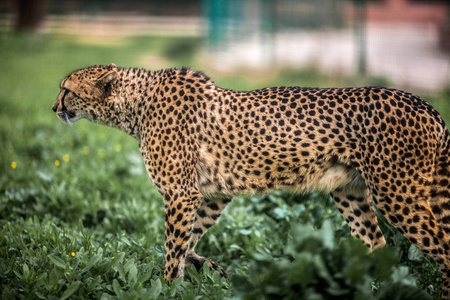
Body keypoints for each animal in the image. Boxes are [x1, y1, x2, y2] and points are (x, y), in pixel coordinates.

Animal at [54, 63, 450, 298]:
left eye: (67, 90)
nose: (54, 108)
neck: (136, 105)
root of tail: (425, 105)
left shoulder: (181, 194)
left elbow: (173, 247)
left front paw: (167, 286)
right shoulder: (211, 193)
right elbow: (188, 240)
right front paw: (203, 267)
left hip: (397, 194)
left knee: (443, 245)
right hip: (349, 191)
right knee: (378, 246)